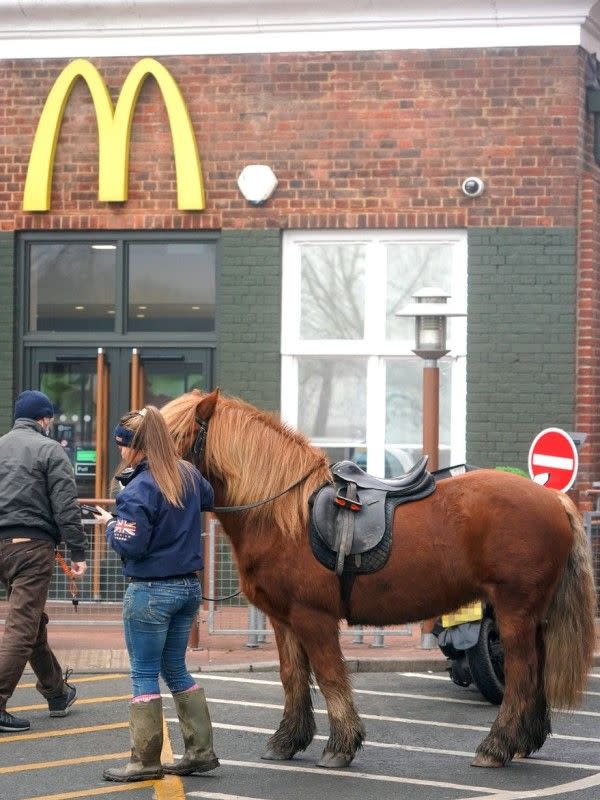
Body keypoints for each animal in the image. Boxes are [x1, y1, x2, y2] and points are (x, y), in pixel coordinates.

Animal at [162, 388, 596, 768]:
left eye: (176, 436)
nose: (141, 479)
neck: (284, 514)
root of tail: (553, 498)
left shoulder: (313, 618)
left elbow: (330, 677)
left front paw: (341, 746)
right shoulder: (283, 620)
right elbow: (292, 678)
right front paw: (288, 741)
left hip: (514, 612)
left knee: (521, 674)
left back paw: (497, 746)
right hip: (532, 616)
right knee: (536, 672)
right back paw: (524, 742)